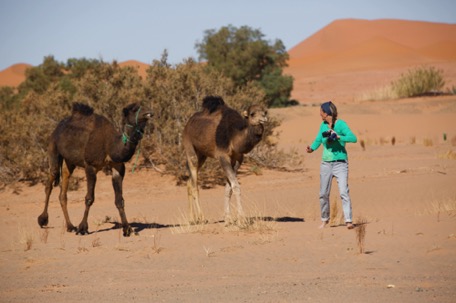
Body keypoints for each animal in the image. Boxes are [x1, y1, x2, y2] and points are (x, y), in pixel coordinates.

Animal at [37, 102, 151, 238]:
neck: (109, 145)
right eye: (134, 109)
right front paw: (82, 228)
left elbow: (120, 200)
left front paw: (127, 229)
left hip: (69, 161)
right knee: (50, 182)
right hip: (53, 148)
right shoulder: (90, 167)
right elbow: (89, 198)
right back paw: (43, 220)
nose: (149, 112)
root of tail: (57, 128)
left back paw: (70, 226)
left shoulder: (118, 168)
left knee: (63, 189)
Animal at [182, 96, 268, 224]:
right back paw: (202, 218)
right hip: (189, 145)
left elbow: (229, 188)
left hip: (202, 154)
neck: (234, 137)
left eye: (264, 112)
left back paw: (192, 218)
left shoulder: (238, 158)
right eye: (252, 114)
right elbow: (236, 186)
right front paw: (242, 219)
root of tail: (187, 124)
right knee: (194, 184)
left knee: (189, 181)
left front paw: (228, 218)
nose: (264, 118)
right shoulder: (223, 156)